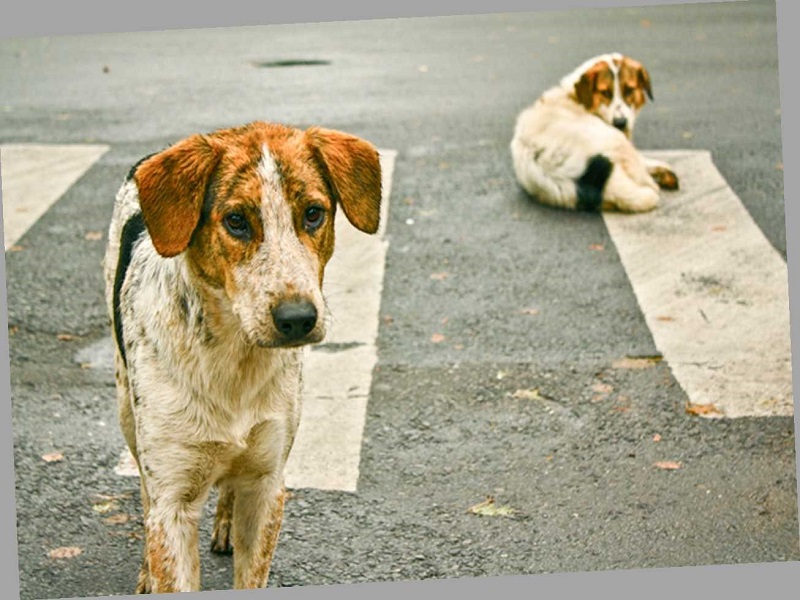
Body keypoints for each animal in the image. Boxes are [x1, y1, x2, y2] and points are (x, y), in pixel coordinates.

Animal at [101, 119, 382, 592]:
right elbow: (161, 527)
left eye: (313, 213)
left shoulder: (267, 484)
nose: (297, 319)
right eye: (235, 221)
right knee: (143, 491)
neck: (234, 359)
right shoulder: (173, 499)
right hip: (127, 412)